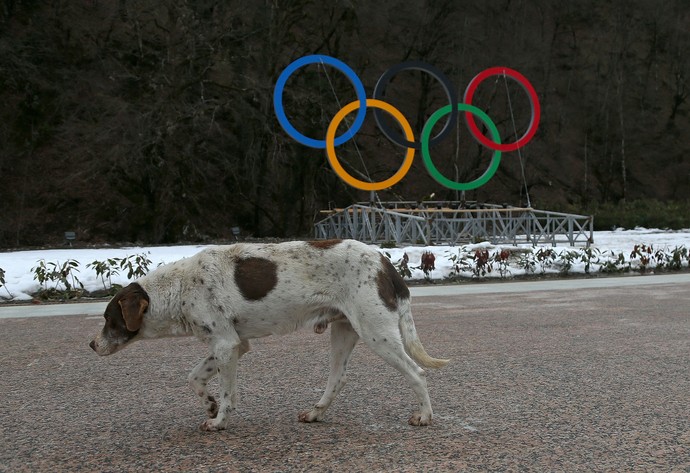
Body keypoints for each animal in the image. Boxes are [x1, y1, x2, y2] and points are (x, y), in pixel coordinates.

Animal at [88, 240, 446, 428]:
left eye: (109, 319)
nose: (91, 344)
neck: (179, 288)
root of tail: (385, 262)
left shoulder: (226, 345)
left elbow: (228, 394)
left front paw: (219, 421)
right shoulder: (232, 345)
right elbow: (194, 378)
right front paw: (209, 405)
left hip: (377, 334)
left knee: (417, 372)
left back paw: (425, 415)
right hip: (344, 331)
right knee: (338, 378)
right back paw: (316, 412)